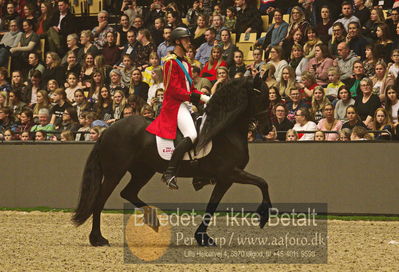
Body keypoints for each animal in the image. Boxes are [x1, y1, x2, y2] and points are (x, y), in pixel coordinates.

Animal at [72, 76, 274, 246]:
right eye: (261, 96)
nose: (268, 128)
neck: (225, 131)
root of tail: (107, 131)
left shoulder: (226, 178)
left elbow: (212, 206)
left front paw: (202, 238)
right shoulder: (230, 173)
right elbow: (262, 183)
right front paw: (264, 216)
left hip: (143, 171)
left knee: (127, 193)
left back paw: (152, 219)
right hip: (115, 172)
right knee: (100, 201)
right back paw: (98, 239)